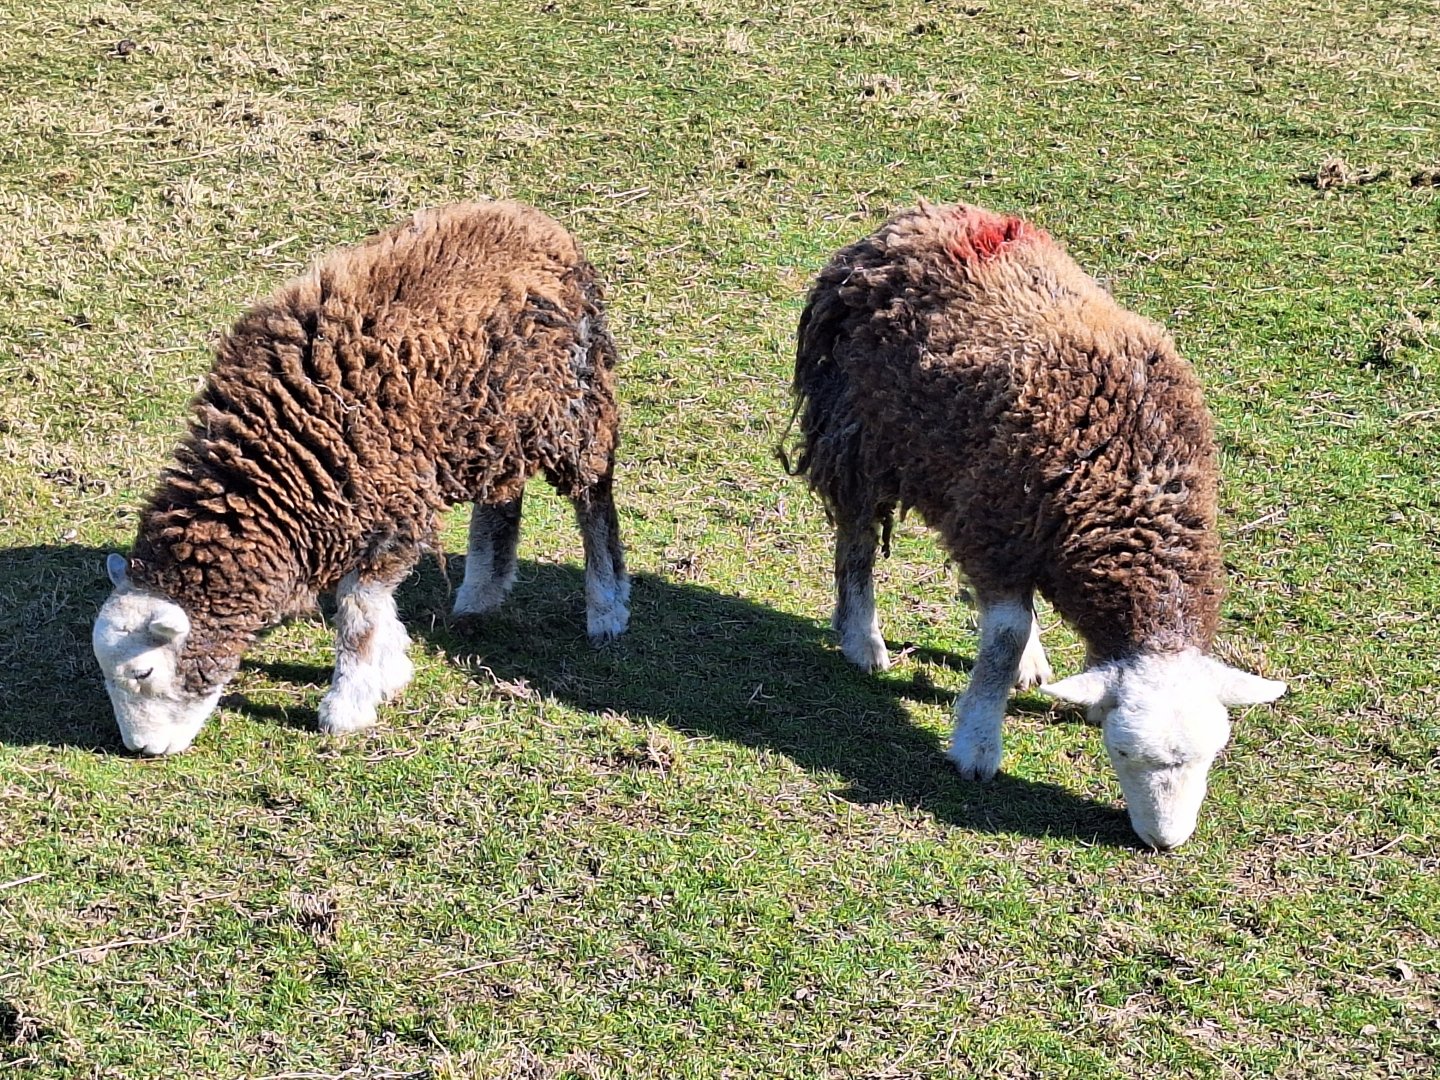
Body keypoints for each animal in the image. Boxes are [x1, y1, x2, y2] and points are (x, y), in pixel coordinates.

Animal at [93, 200, 629, 756]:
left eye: (142, 672)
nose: (141, 750)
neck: (274, 469)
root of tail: (534, 221)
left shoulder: (390, 499)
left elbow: (358, 612)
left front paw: (347, 705)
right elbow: (371, 606)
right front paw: (391, 668)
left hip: (571, 406)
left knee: (593, 498)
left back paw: (607, 608)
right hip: (496, 421)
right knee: (503, 496)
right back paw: (480, 594)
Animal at [786, 201, 1284, 849]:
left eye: (1212, 755)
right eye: (1121, 752)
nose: (1165, 842)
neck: (1131, 484)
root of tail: (921, 216)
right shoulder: (994, 526)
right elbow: (1002, 637)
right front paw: (977, 743)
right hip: (856, 431)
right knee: (857, 541)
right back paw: (861, 637)